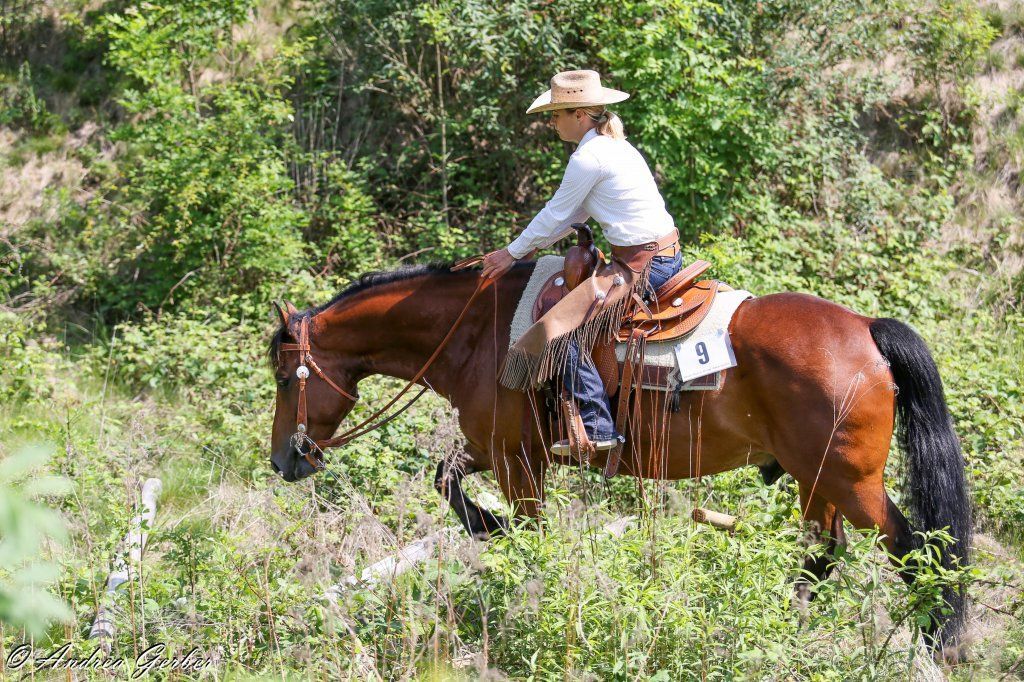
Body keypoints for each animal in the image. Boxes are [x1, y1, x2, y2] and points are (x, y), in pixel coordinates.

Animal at [266, 261, 972, 655]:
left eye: (282, 375)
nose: (282, 461)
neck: (475, 332)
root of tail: (867, 330)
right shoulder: (496, 448)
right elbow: (445, 478)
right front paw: (487, 526)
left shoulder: (518, 462)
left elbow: (532, 533)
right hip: (815, 477)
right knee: (822, 552)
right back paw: (787, 625)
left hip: (852, 481)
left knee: (914, 549)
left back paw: (938, 642)